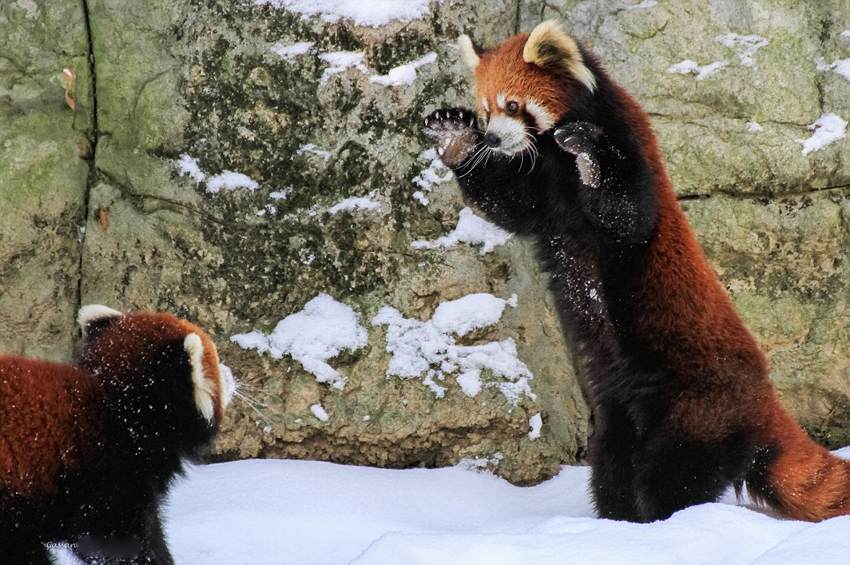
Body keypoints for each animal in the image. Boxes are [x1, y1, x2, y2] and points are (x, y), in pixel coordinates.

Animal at [422, 20, 848, 524]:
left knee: (670, 473)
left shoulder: (630, 147)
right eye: (485, 110)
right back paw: (619, 520)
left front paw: (588, 151)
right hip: (618, 417)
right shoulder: (540, 198)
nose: (490, 139)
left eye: (513, 105)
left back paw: (663, 520)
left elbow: (626, 213)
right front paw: (454, 138)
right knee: (612, 466)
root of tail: (765, 402)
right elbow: (508, 205)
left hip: (695, 409)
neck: (554, 161)